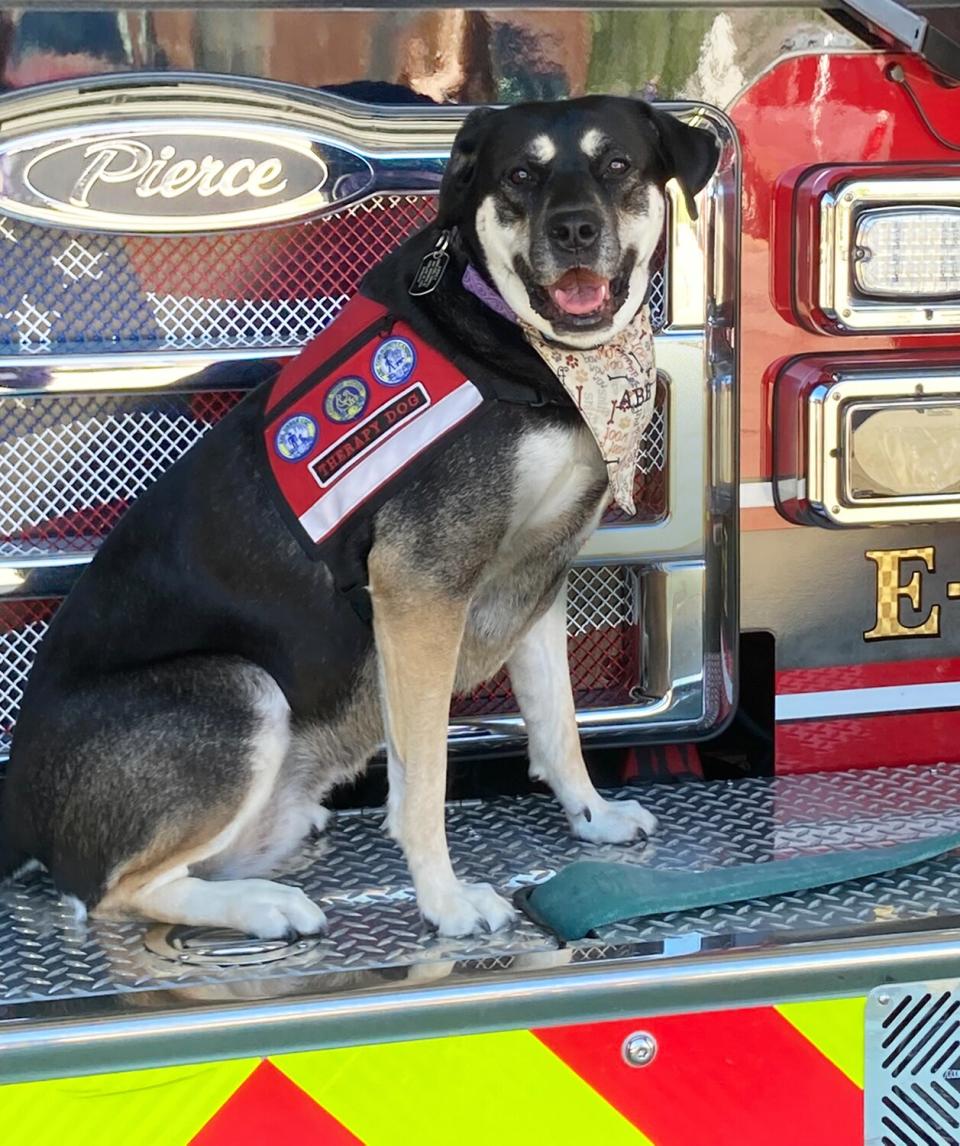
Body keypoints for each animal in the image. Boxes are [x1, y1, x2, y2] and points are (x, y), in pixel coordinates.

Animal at [0, 96, 719, 939]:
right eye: (520, 175)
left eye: (618, 165)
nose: (573, 229)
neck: (530, 352)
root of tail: (19, 815)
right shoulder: (420, 591)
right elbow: (424, 775)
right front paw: (445, 901)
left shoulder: (536, 578)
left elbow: (558, 723)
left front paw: (593, 816)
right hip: (238, 688)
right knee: (111, 891)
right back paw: (263, 905)